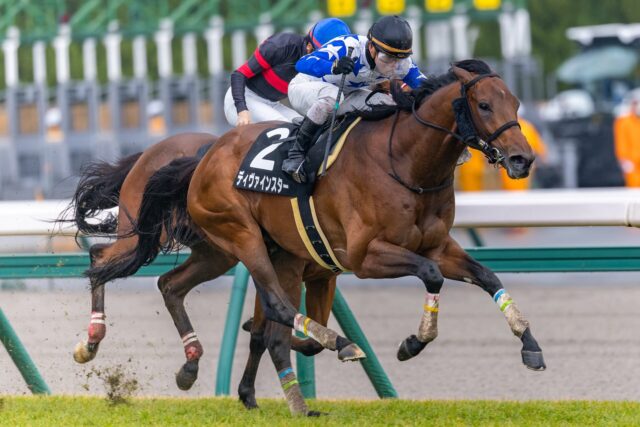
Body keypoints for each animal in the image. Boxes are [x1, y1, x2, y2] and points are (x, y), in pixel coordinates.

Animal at [60, 132, 333, 413]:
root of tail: (149, 152)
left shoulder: (317, 275)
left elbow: (279, 334)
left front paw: (248, 393)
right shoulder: (279, 268)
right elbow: (274, 329)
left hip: (214, 252)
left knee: (168, 284)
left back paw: (189, 365)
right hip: (145, 233)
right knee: (100, 258)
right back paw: (92, 340)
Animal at [133, 59, 545, 414]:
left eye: (515, 102)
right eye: (484, 105)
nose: (522, 159)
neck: (406, 163)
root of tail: (205, 155)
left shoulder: (438, 246)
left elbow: (487, 276)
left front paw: (530, 344)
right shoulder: (366, 256)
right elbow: (431, 275)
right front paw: (413, 342)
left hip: (232, 252)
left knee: (176, 287)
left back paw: (206, 374)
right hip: (240, 234)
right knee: (276, 305)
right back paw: (338, 345)